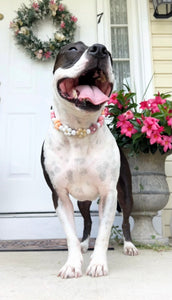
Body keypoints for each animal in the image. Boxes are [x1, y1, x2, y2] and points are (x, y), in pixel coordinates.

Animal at [41, 41, 138, 278]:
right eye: (72, 49)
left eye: (110, 54)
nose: (100, 49)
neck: (79, 130)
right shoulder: (60, 196)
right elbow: (70, 235)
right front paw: (72, 264)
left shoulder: (109, 194)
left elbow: (104, 232)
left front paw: (98, 264)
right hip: (82, 200)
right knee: (86, 220)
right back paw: (85, 244)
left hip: (126, 195)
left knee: (124, 221)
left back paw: (129, 245)